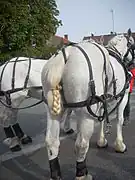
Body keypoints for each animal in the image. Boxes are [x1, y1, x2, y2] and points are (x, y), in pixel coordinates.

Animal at [41, 30, 135, 179]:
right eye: (132, 44)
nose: (132, 63)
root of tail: (65, 56)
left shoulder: (102, 102)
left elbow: (102, 120)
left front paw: (102, 141)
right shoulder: (123, 96)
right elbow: (119, 120)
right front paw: (120, 145)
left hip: (53, 111)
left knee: (51, 142)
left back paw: (55, 174)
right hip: (85, 114)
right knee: (81, 144)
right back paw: (82, 174)